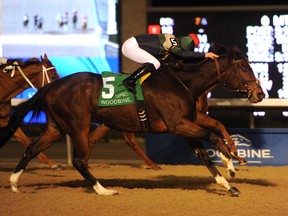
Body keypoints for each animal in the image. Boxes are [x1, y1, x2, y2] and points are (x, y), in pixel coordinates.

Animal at [0, 45, 266, 196]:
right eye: (244, 68)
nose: (260, 94)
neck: (184, 83)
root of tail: (52, 86)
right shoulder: (177, 125)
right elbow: (211, 136)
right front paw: (231, 164)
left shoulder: (184, 126)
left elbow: (205, 151)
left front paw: (228, 184)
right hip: (79, 125)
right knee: (79, 160)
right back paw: (104, 190)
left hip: (56, 128)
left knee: (31, 149)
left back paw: (13, 183)